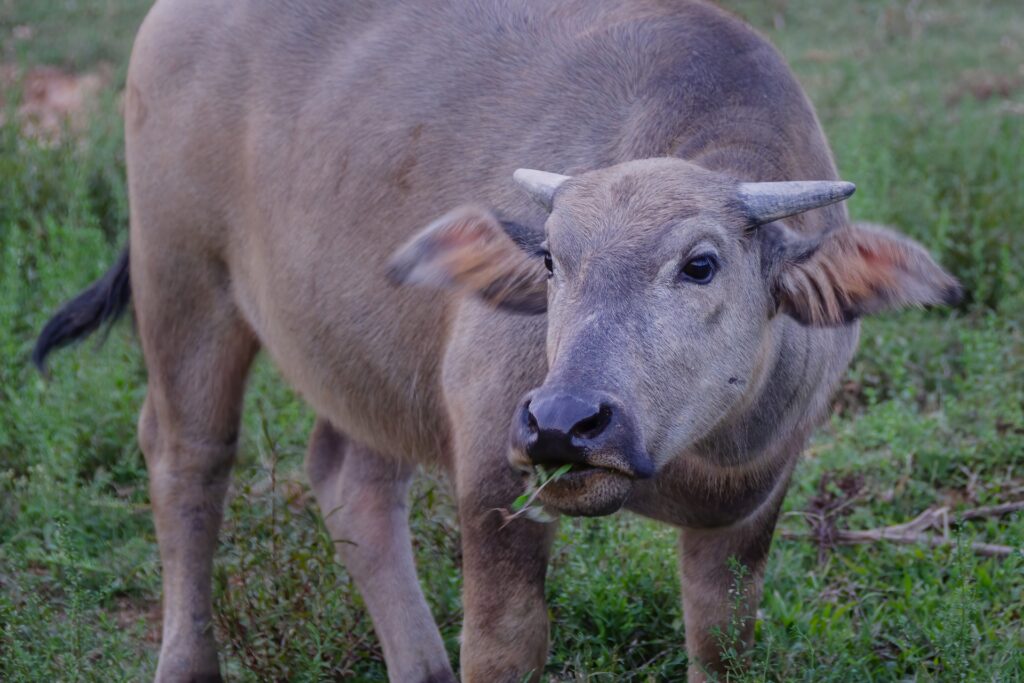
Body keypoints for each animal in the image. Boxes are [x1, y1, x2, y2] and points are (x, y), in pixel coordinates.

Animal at [34, 0, 958, 679]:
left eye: (701, 263)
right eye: (552, 257)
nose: (563, 423)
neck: (683, 455)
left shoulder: (753, 506)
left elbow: (722, 642)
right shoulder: (489, 467)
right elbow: (507, 644)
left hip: (366, 350)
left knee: (351, 479)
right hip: (182, 274)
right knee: (188, 458)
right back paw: (189, 659)